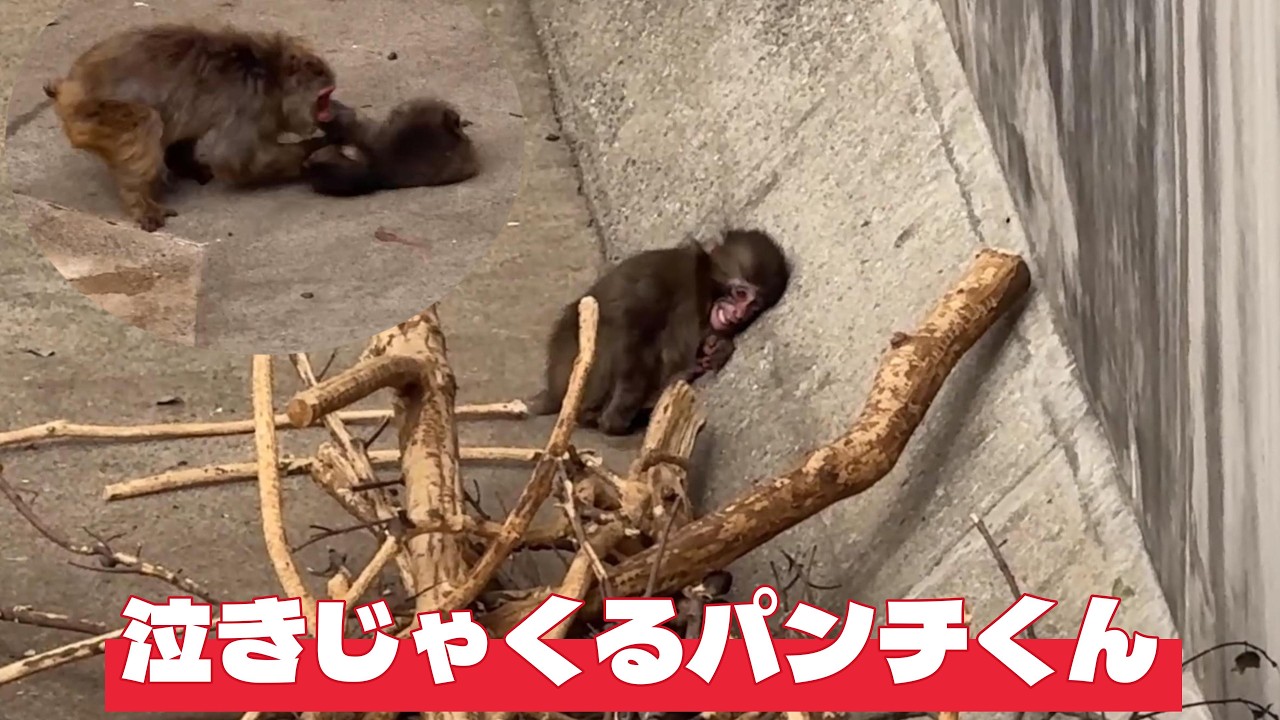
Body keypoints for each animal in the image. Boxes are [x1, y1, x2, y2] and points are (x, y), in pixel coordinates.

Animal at [43, 22, 339, 231]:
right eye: (324, 97)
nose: (327, 114)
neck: (271, 76)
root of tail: (69, 86)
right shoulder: (249, 105)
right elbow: (235, 160)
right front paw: (314, 149)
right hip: (91, 115)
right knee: (148, 122)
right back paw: (139, 201)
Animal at [525, 228, 791, 436]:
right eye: (740, 294)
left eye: (754, 307)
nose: (738, 314)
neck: (701, 288)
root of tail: (555, 392)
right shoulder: (665, 275)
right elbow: (632, 326)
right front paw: (621, 408)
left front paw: (718, 348)